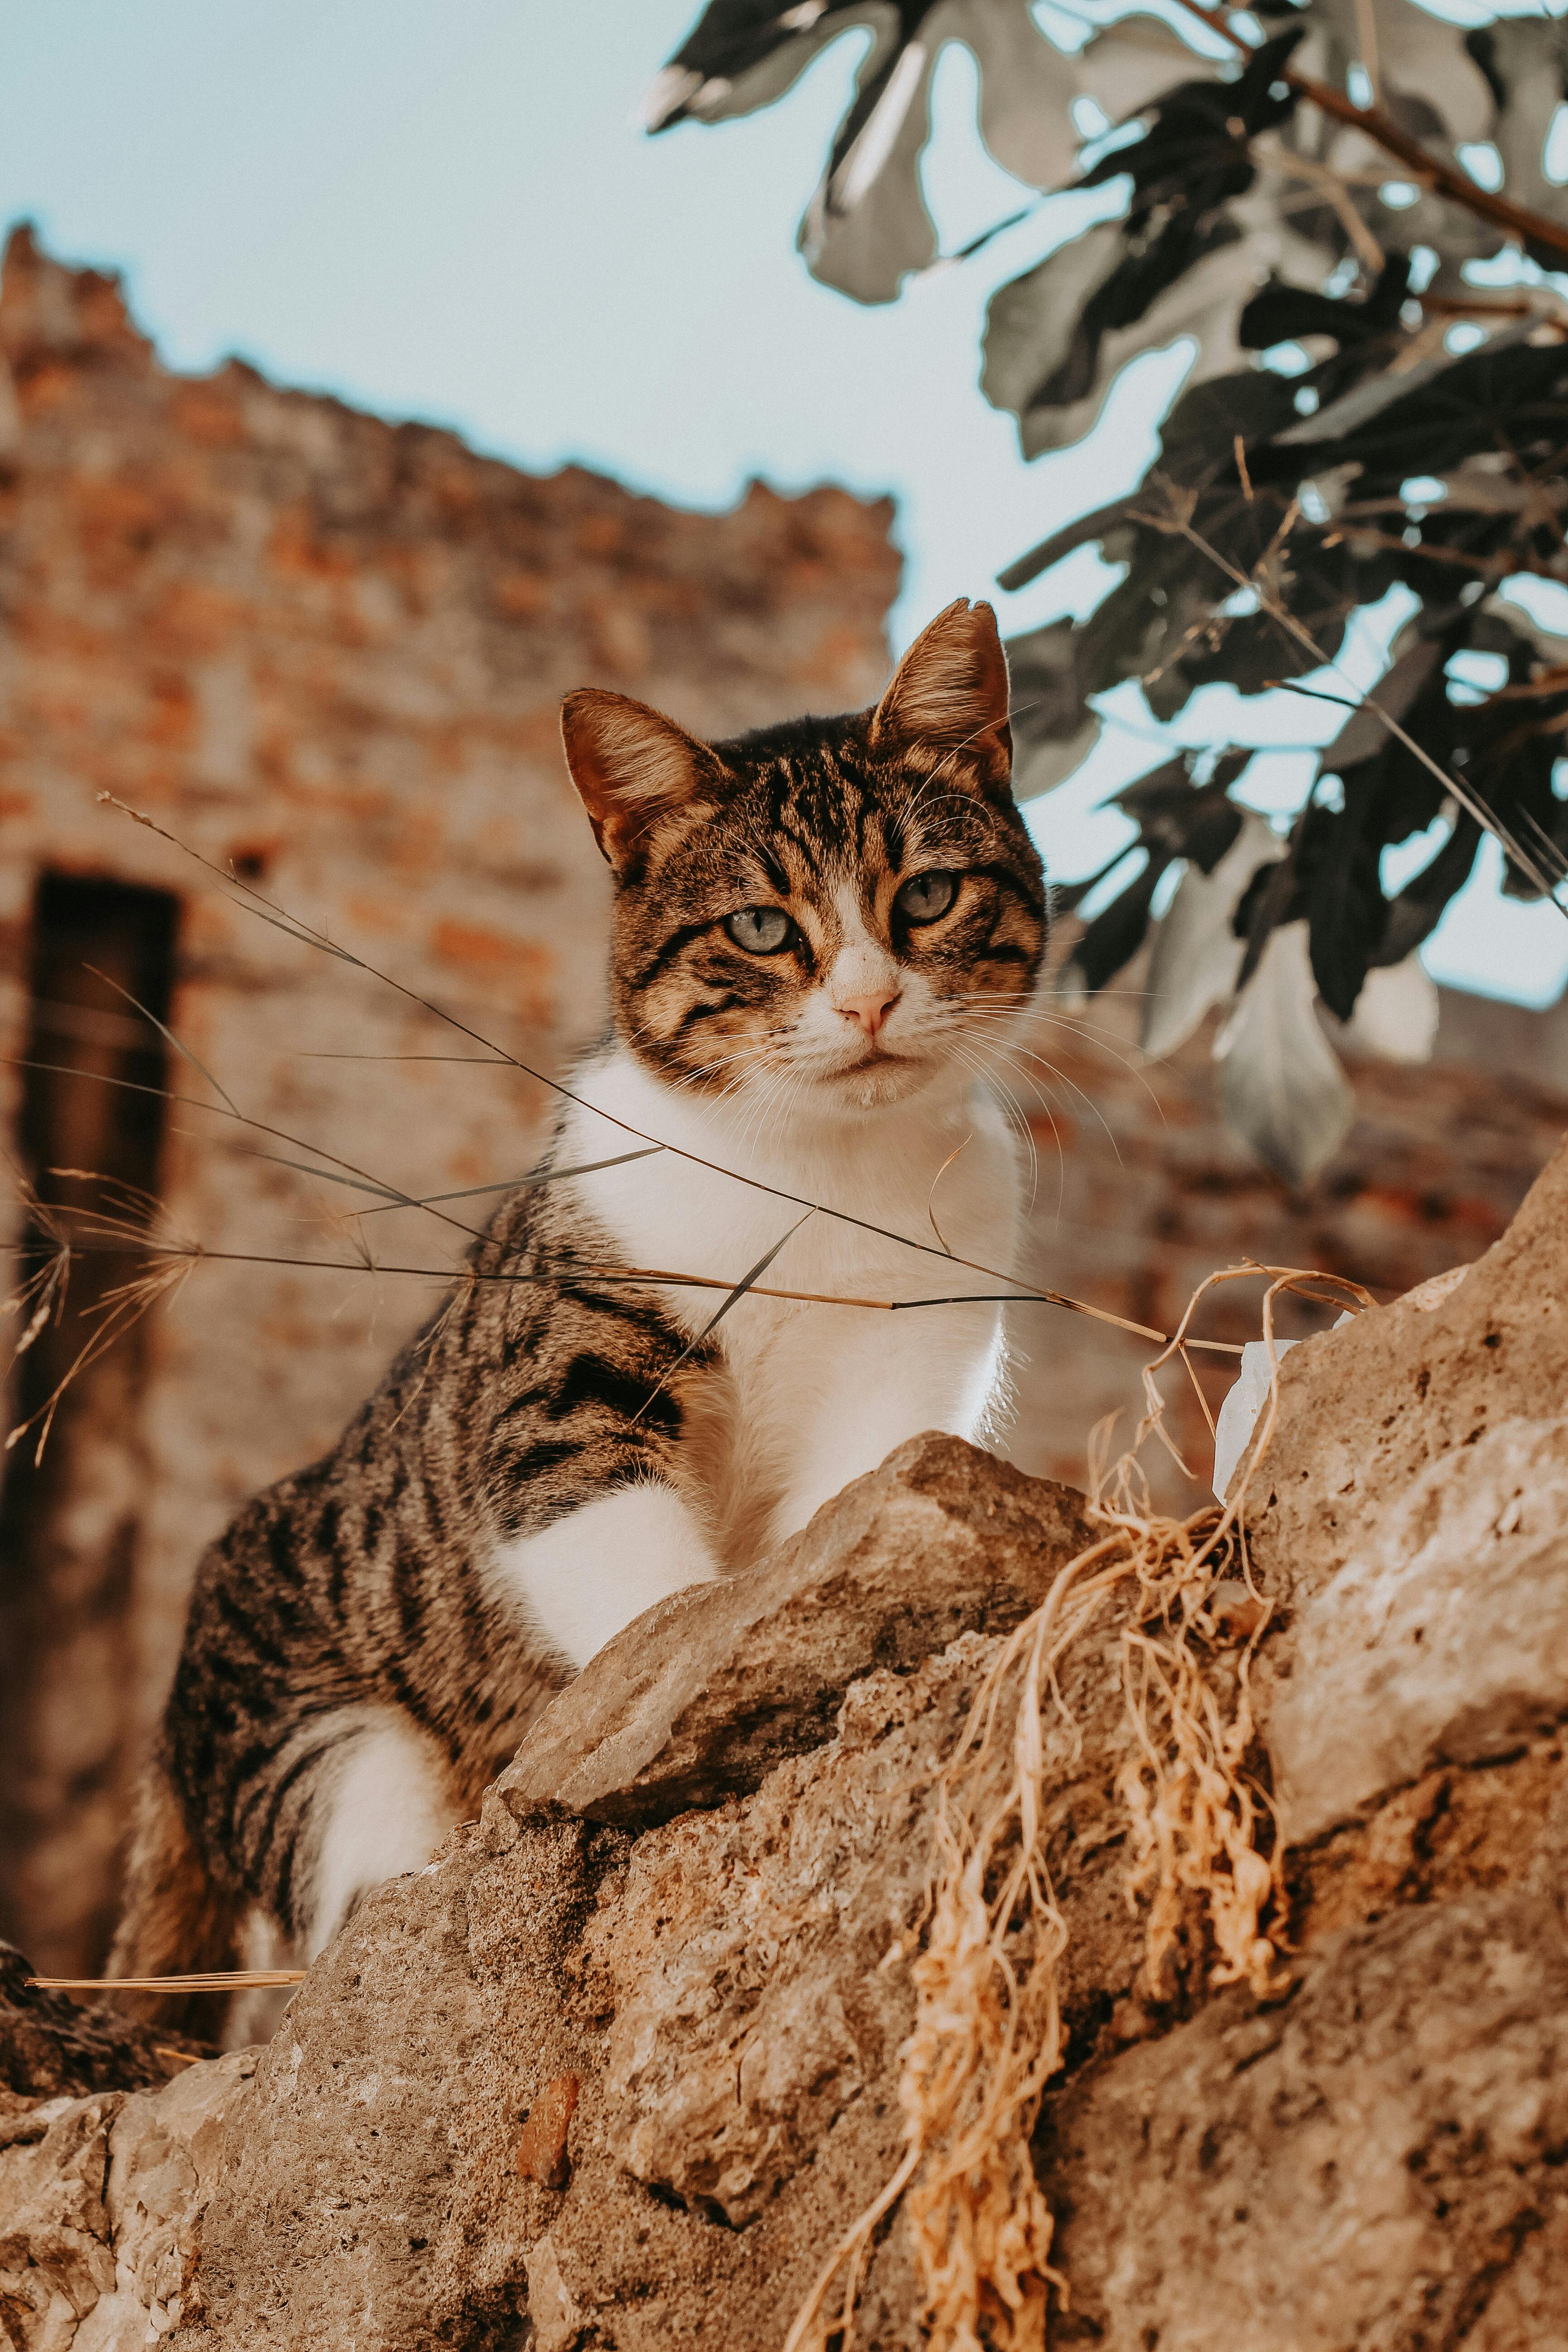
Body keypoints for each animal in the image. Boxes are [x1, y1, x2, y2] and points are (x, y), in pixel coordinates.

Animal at [108, 597, 1044, 2013]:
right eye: (760, 929)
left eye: (926, 896)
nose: (870, 999)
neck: (815, 1175)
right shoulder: (559, 1379)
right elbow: (639, 1591)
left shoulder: (913, 1356)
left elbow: (843, 1509)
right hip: (323, 1748)